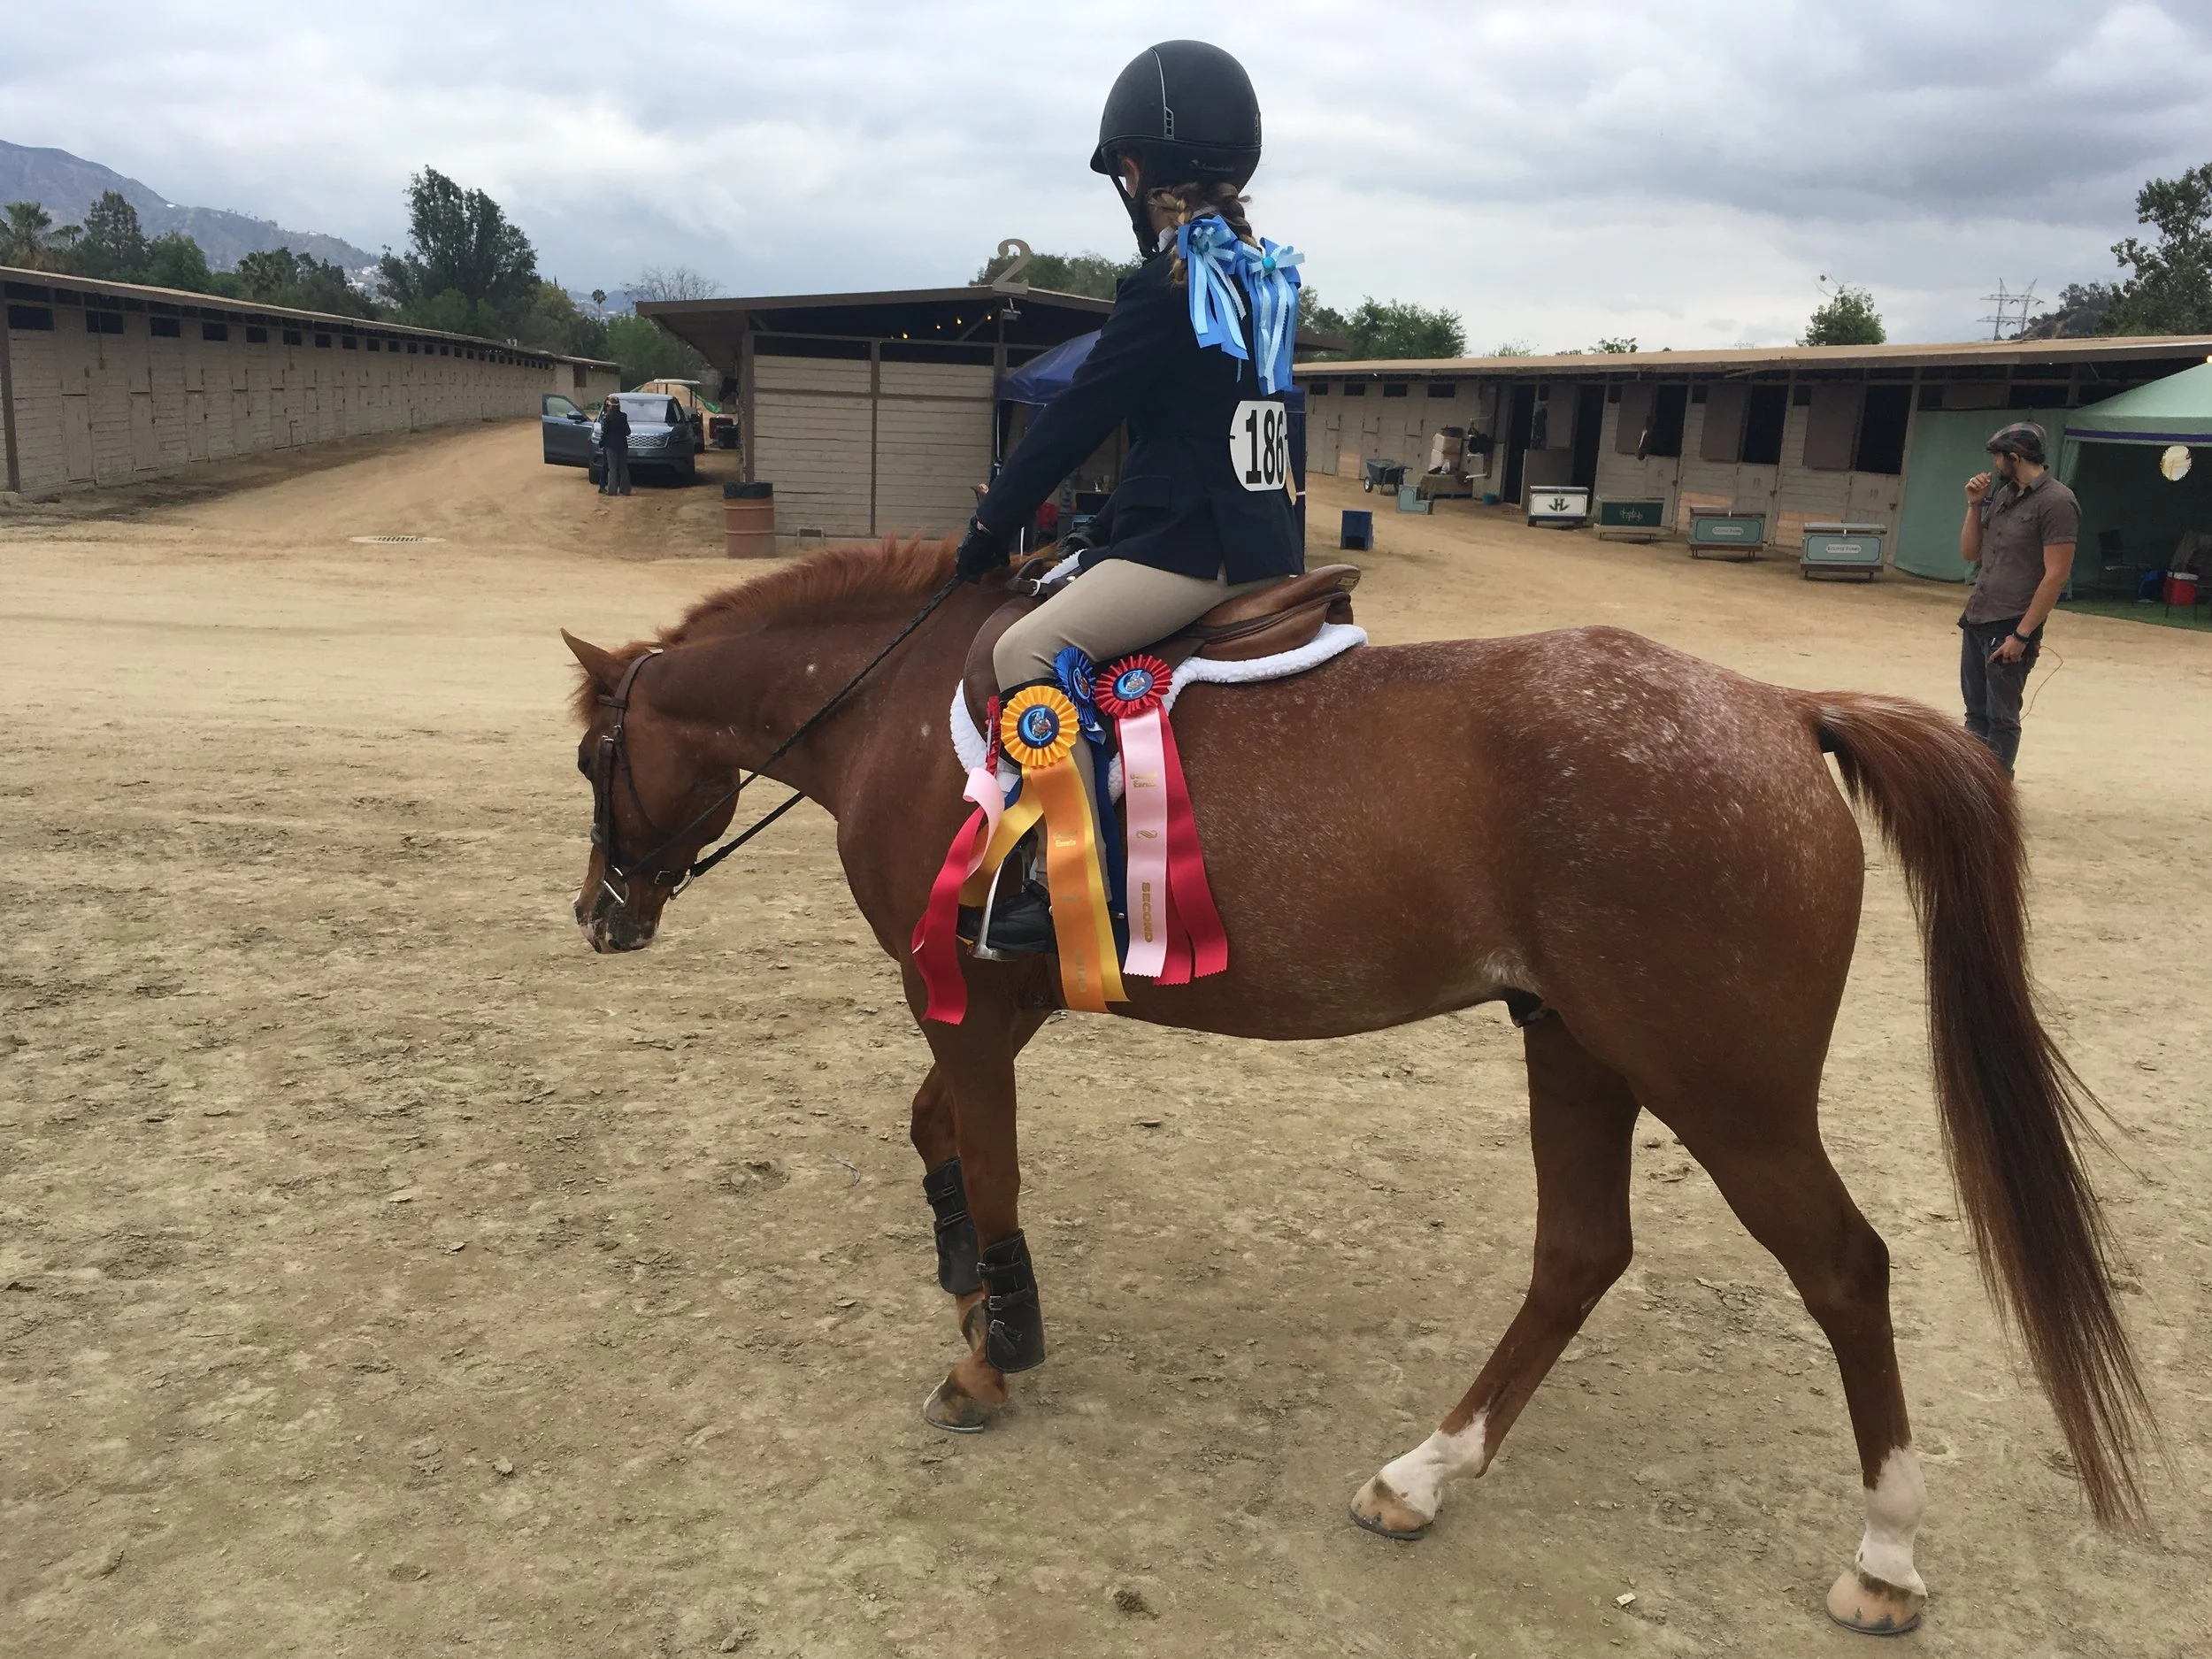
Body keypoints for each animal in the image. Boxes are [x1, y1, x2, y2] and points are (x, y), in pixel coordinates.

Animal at [559, 534, 2147, 1634]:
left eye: (592, 757)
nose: (600, 916)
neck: (894, 705)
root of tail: (1778, 709)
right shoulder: (991, 1016)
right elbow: (937, 1131)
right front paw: (970, 1282)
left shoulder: (965, 1006)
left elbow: (985, 1152)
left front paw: (988, 1350)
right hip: (1577, 1050)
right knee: (1581, 1254)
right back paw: (1424, 1474)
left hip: (1727, 1091)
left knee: (1844, 1270)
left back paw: (1885, 1555)